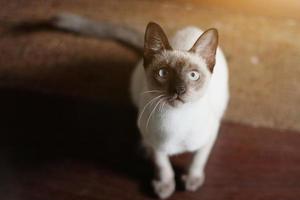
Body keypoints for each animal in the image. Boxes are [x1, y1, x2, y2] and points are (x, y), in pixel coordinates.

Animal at [49, 12, 229, 198]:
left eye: (193, 75)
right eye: (163, 73)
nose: (179, 90)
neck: (175, 121)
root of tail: (191, 27)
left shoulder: (211, 136)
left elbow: (198, 160)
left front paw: (192, 181)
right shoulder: (157, 144)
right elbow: (162, 164)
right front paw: (165, 187)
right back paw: (144, 149)